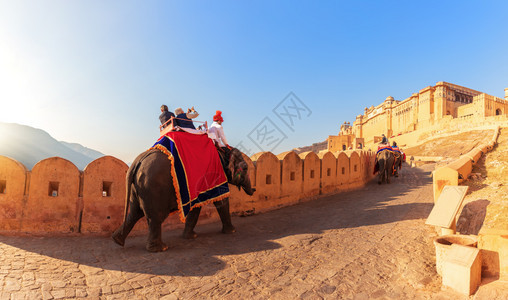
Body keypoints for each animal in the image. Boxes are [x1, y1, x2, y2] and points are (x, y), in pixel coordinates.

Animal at [111, 146, 254, 252]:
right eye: (246, 168)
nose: (253, 190)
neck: (222, 150)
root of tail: (136, 162)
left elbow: (196, 208)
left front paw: (190, 237)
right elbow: (221, 201)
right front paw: (232, 231)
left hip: (138, 188)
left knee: (134, 213)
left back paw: (117, 241)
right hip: (152, 188)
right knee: (155, 217)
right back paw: (161, 249)